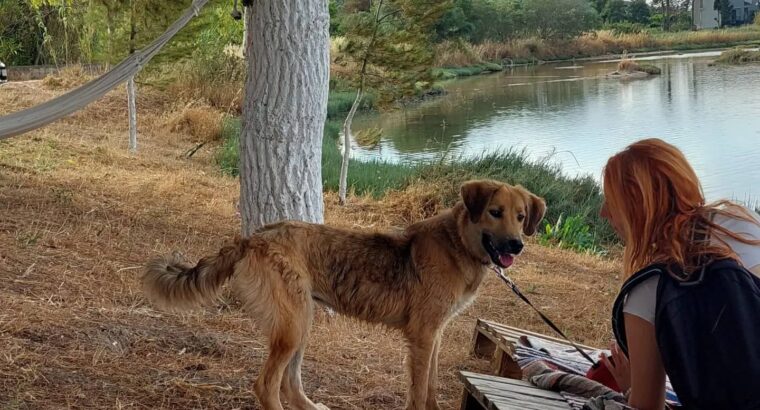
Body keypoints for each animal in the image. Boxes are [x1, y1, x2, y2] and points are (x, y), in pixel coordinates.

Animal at [144, 180, 548, 410]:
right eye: (494, 212)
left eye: (521, 216)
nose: (517, 245)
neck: (457, 244)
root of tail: (253, 238)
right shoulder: (422, 335)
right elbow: (418, 393)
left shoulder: (435, 333)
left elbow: (431, 387)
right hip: (293, 324)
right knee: (267, 385)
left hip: (301, 322)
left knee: (289, 383)